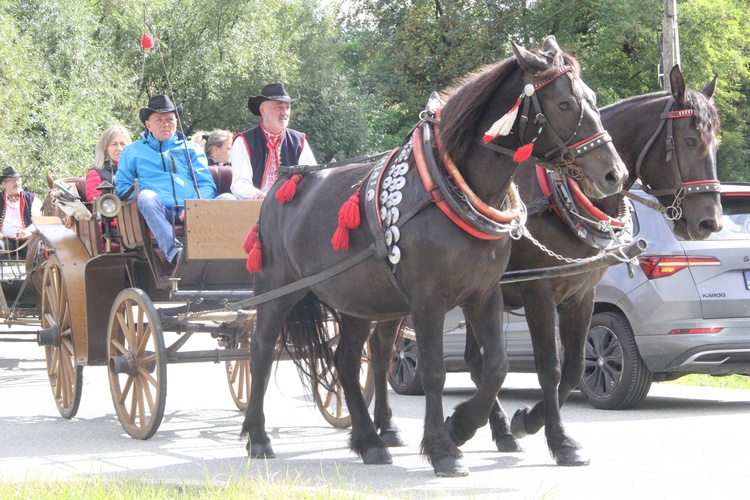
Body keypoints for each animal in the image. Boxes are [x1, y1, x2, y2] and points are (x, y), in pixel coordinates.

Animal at [242, 36, 628, 476]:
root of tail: (282, 182)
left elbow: (497, 366)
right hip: (277, 289)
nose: (614, 174)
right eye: (564, 104)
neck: (448, 189)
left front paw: (463, 426)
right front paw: (444, 446)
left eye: (593, 99)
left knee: (348, 360)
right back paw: (259, 436)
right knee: (261, 350)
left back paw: (370, 441)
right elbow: (436, 371)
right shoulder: (436, 299)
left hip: (360, 301)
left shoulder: (486, 295)